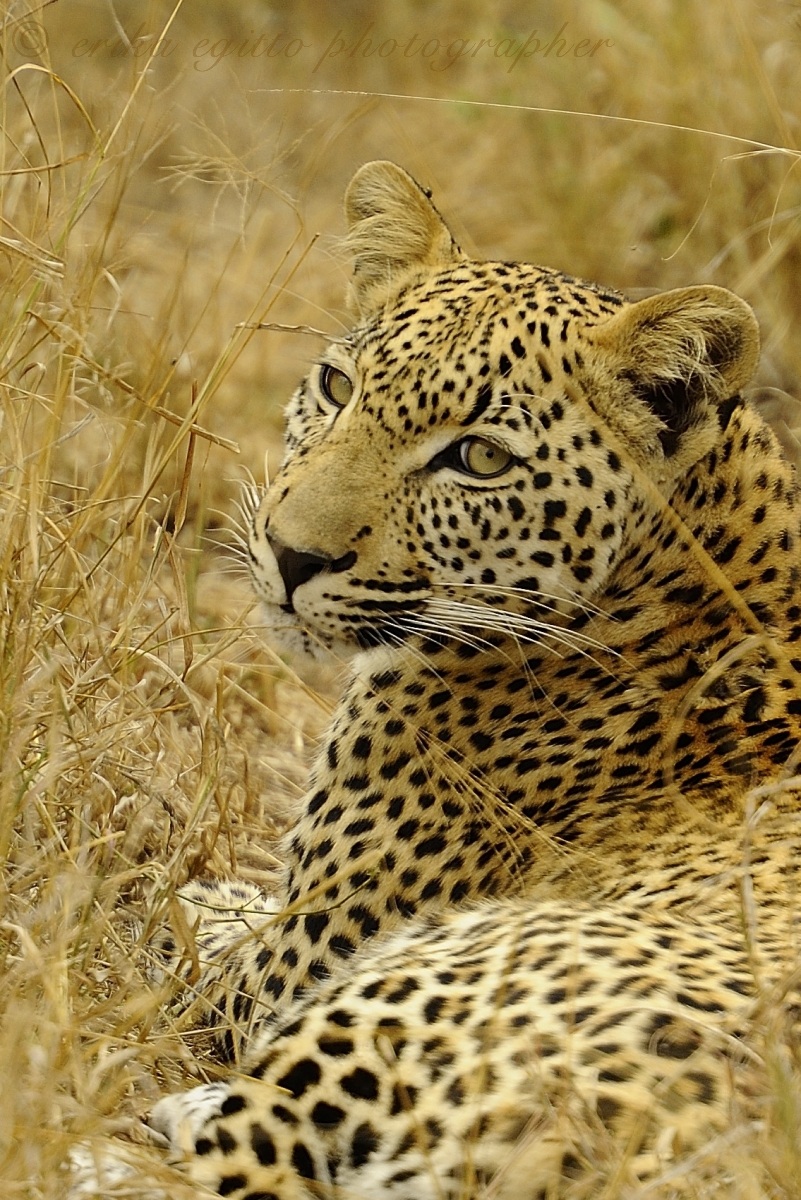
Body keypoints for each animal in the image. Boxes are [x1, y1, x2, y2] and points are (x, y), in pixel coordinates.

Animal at [149, 160, 801, 1199]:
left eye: (480, 459)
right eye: (337, 386)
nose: (291, 555)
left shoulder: (297, 959)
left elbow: (195, 934)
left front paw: (196, 895)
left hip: (418, 979)